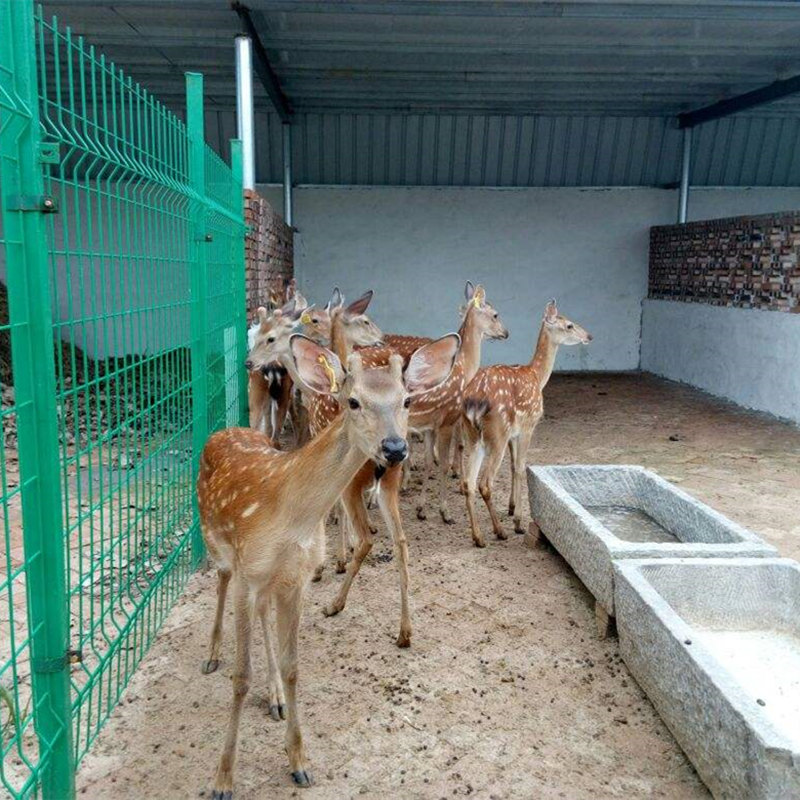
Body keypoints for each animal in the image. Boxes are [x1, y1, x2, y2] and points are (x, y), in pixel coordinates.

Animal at [198, 332, 460, 800]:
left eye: (407, 399)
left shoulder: (295, 578)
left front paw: (299, 761)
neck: (291, 516)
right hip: (218, 544)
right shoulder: (250, 571)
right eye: (352, 401)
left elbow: (294, 666)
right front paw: (223, 779)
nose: (395, 448)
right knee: (222, 581)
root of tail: (224, 430)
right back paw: (212, 654)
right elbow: (241, 677)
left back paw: (275, 697)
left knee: (263, 613)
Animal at [460, 302, 592, 552]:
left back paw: (477, 537)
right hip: (497, 434)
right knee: (485, 483)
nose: (589, 336)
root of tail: (473, 402)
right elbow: (521, 466)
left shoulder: (514, 433)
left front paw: (512, 509)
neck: (537, 377)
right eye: (569, 325)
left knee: (468, 483)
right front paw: (518, 522)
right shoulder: (529, 425)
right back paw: (499, 532)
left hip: (473, 437)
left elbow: (513, 466)